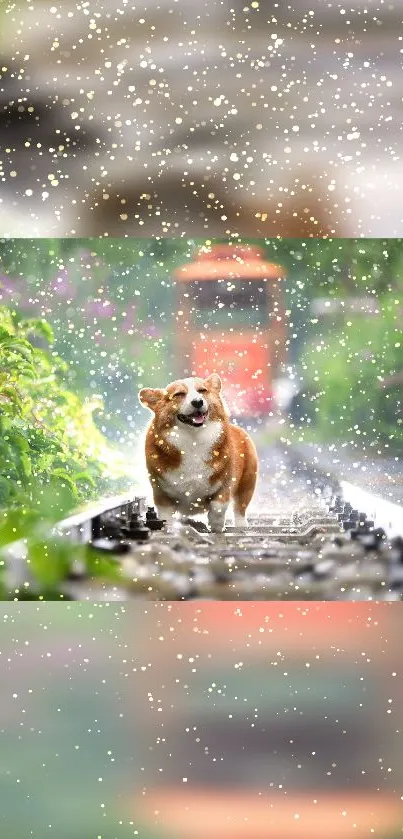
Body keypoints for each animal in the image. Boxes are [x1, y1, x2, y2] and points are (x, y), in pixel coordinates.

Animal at [139, 374, 258, 532]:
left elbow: (218, 507)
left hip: (248, 482)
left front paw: (216, 526)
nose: (197, 402)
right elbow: (166, 516)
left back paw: (241, 525)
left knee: (240, 508)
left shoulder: (225, 483)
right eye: (179, 394)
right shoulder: (160, 492)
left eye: (202, 391)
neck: (193, 439)